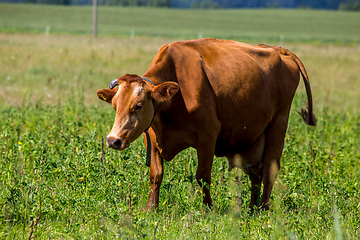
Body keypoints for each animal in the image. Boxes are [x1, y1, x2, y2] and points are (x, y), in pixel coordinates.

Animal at [95, 37, 316, 210]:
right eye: (115, 105)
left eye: (138, 105)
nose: (113, 140)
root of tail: (278, 50)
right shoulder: (151, 136)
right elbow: (155, 175)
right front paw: (151, 208)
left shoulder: (208, 134)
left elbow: (202, 176)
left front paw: (208, 209)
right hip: (254, 138)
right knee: (256, 172)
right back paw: (252, 208)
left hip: (278, 123)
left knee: (270, 168)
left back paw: (263, 208)